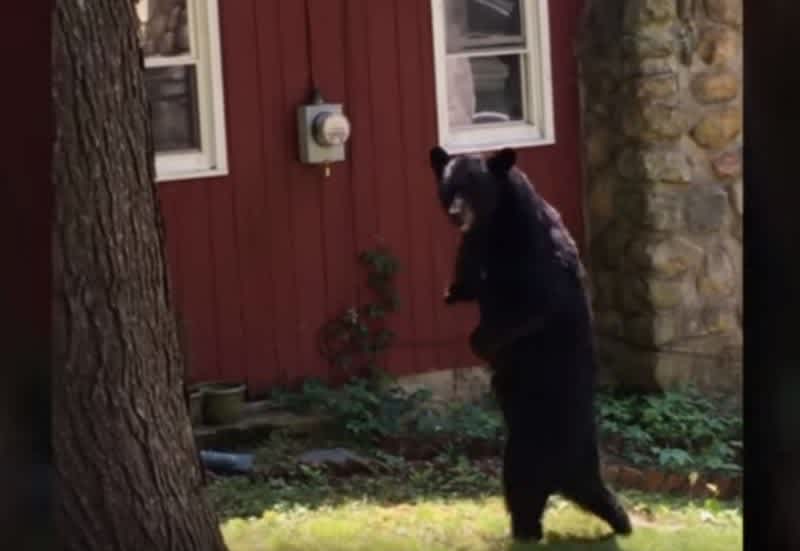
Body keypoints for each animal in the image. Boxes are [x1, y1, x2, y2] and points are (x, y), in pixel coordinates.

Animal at [429, 146, 632, 542]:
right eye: (449, 187)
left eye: (473, 187)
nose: (456, 214)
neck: (497, 221)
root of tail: (574, 470)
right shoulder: (478, 243)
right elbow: (470, 275)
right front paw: (453, 290)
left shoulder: (532, 249)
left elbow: (534, 300)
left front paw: (480, 341)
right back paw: (616, 520)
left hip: (532, 446)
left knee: (526, 490)